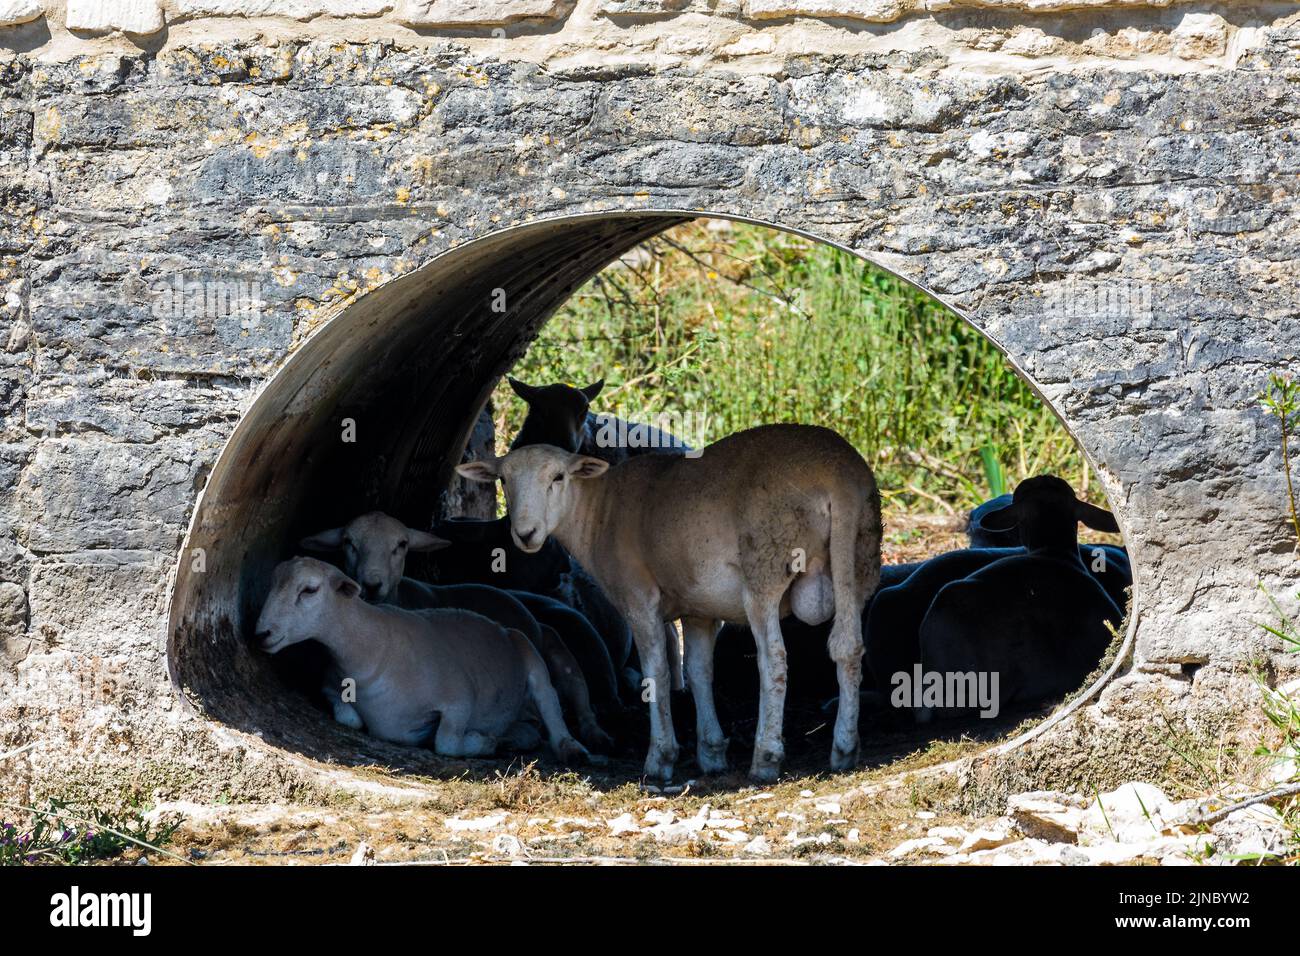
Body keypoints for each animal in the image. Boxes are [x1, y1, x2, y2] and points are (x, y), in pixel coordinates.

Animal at [254, 556, 590, 764]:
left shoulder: (459, 701)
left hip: (527, 651)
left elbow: (446, 743)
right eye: (271, 583)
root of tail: (501, 628)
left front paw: (482, 743)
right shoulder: (329, 686)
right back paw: (516, 737)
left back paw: (571, 748)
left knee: (549, 701)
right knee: (530, 728)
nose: (261, 634)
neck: (374, 649)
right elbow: (349, 718)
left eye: (309, 589)